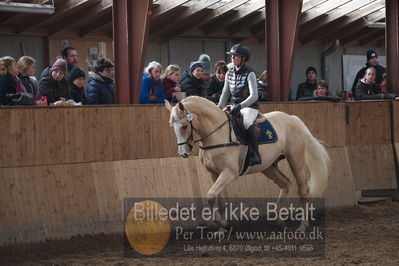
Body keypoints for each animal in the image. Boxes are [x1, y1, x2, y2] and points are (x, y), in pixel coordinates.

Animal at [166, 96, 332, 231]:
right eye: (171, 127)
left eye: (184, 126)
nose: (183, 153)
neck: (216, 134)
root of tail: (292, 118)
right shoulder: (215, 174)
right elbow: (219, 201)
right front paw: (223, 229)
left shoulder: (229, 173)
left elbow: (211, 195)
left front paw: (224, 224)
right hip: (269, 166)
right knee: (285, 184)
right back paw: (278, 219)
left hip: (295, 160)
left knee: (302, 191)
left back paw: (302, 225)